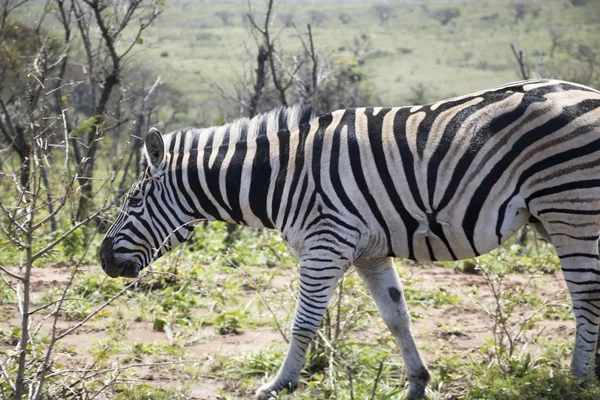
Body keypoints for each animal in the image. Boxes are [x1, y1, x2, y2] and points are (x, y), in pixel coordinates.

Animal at [101, 79, 600, 398]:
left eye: (133, 200)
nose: (104, 260)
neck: (282, 176)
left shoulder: (326, 242)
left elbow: (304, 323)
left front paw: (278, 385)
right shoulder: (370, 253)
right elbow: (397, 318)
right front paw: (417, 384)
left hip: (569, 207)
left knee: (586, 297)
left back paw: (577, 381)